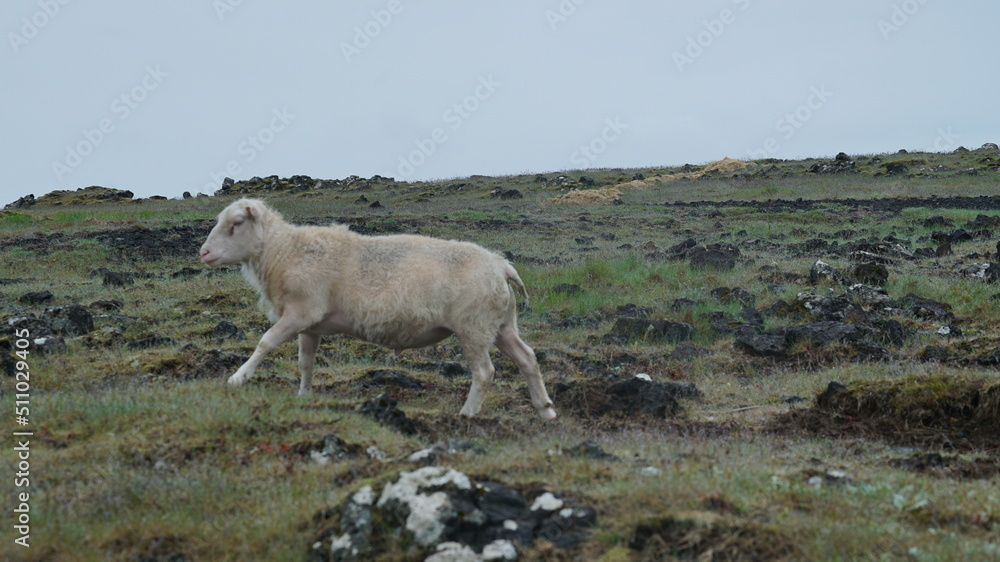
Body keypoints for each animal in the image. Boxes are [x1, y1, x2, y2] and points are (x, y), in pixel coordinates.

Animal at [198, 198, 557, 420]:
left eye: (237, 223)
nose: (203, 253)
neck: (283, 253)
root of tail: (502, 265)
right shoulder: (310, 324)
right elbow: (306, 362)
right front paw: (304, 395)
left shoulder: (301, 312)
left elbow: (265, 342)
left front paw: (238, 377)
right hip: (501, 325)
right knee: (527, 358)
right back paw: (545, 409)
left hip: (474, 327)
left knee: (484, 372)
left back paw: (468, 413)